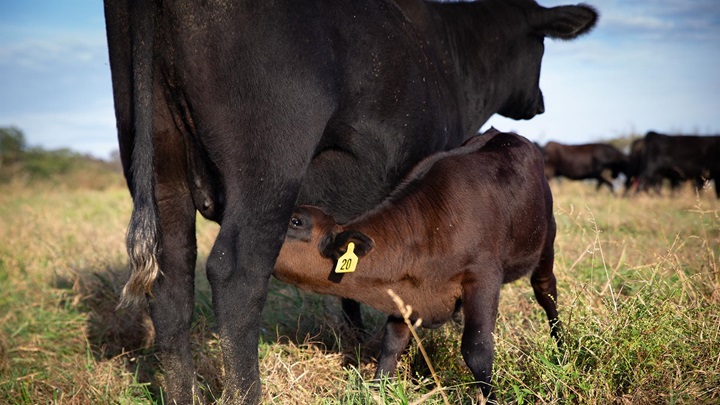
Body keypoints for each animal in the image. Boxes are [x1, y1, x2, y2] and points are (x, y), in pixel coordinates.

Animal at [274, 128, 559, 401]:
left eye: (296, 221)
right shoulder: (402, 287)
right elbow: (392, 343)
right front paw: (377, 389)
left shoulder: (483, 276)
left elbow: (477, 348)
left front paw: (490, 398)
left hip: (547, 235)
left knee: (545, 290)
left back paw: (559, 349)